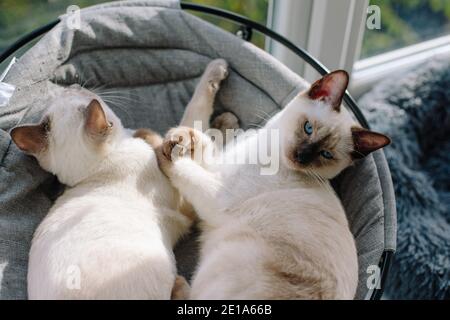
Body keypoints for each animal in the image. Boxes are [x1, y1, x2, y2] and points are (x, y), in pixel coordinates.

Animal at [156, 70, 388, 300]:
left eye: (325, 154)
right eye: (308, 128)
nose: (301, 156)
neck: (269, 148)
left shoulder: (217, 194)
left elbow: (186, 163)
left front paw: (167, 152)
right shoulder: (219, 163)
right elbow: (202, 138)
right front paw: (183, 136)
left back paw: (177, 284)